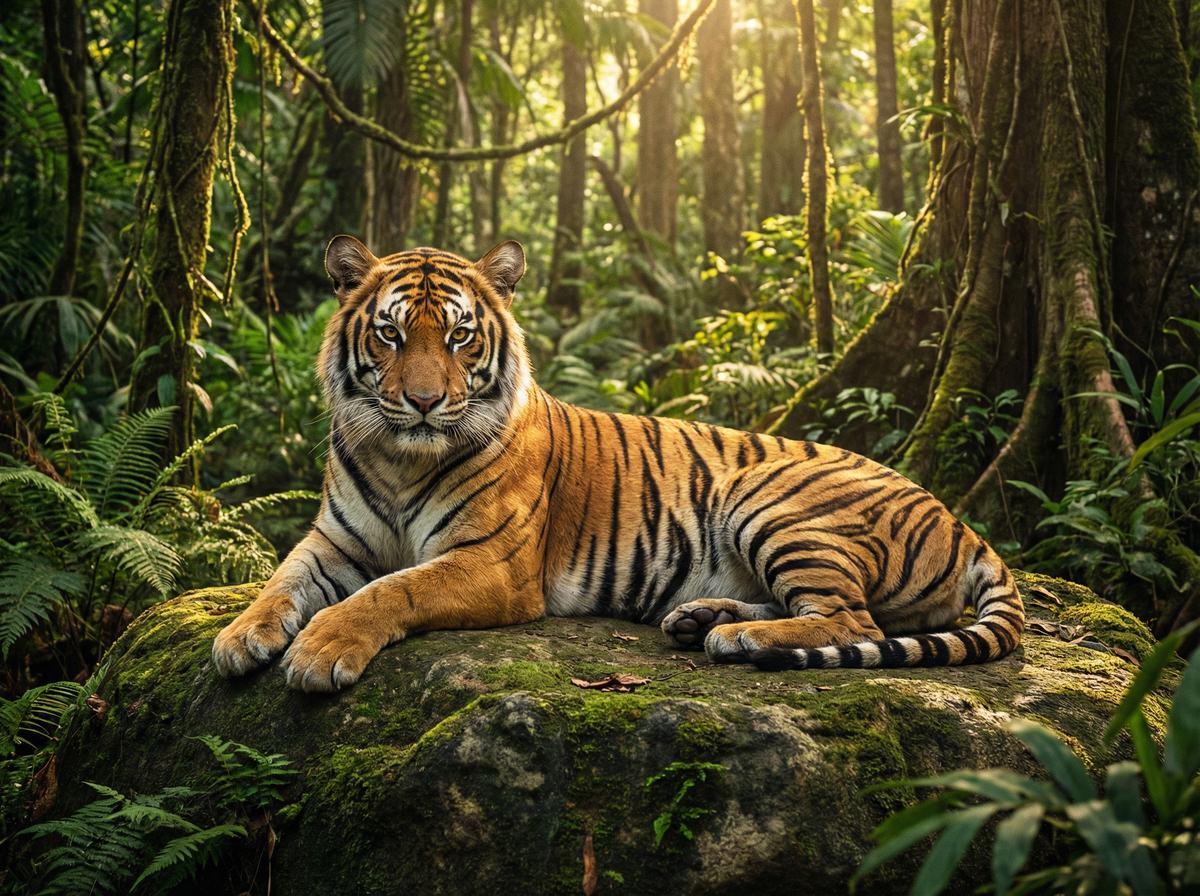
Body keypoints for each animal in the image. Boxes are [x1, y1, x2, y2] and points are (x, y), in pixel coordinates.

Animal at [211, 236, 1025, 692]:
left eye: (458, 338)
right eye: (390, 334)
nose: (421, 401)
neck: (399, 460)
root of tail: (964, 524)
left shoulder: (490, 563)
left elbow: (391, 592)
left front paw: (320, 650)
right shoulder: (333, 541)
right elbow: (280, 582)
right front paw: (239, 638)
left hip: (768, 497)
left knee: (848, 618)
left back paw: (737, 639)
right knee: (840, 613)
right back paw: (702, 617)